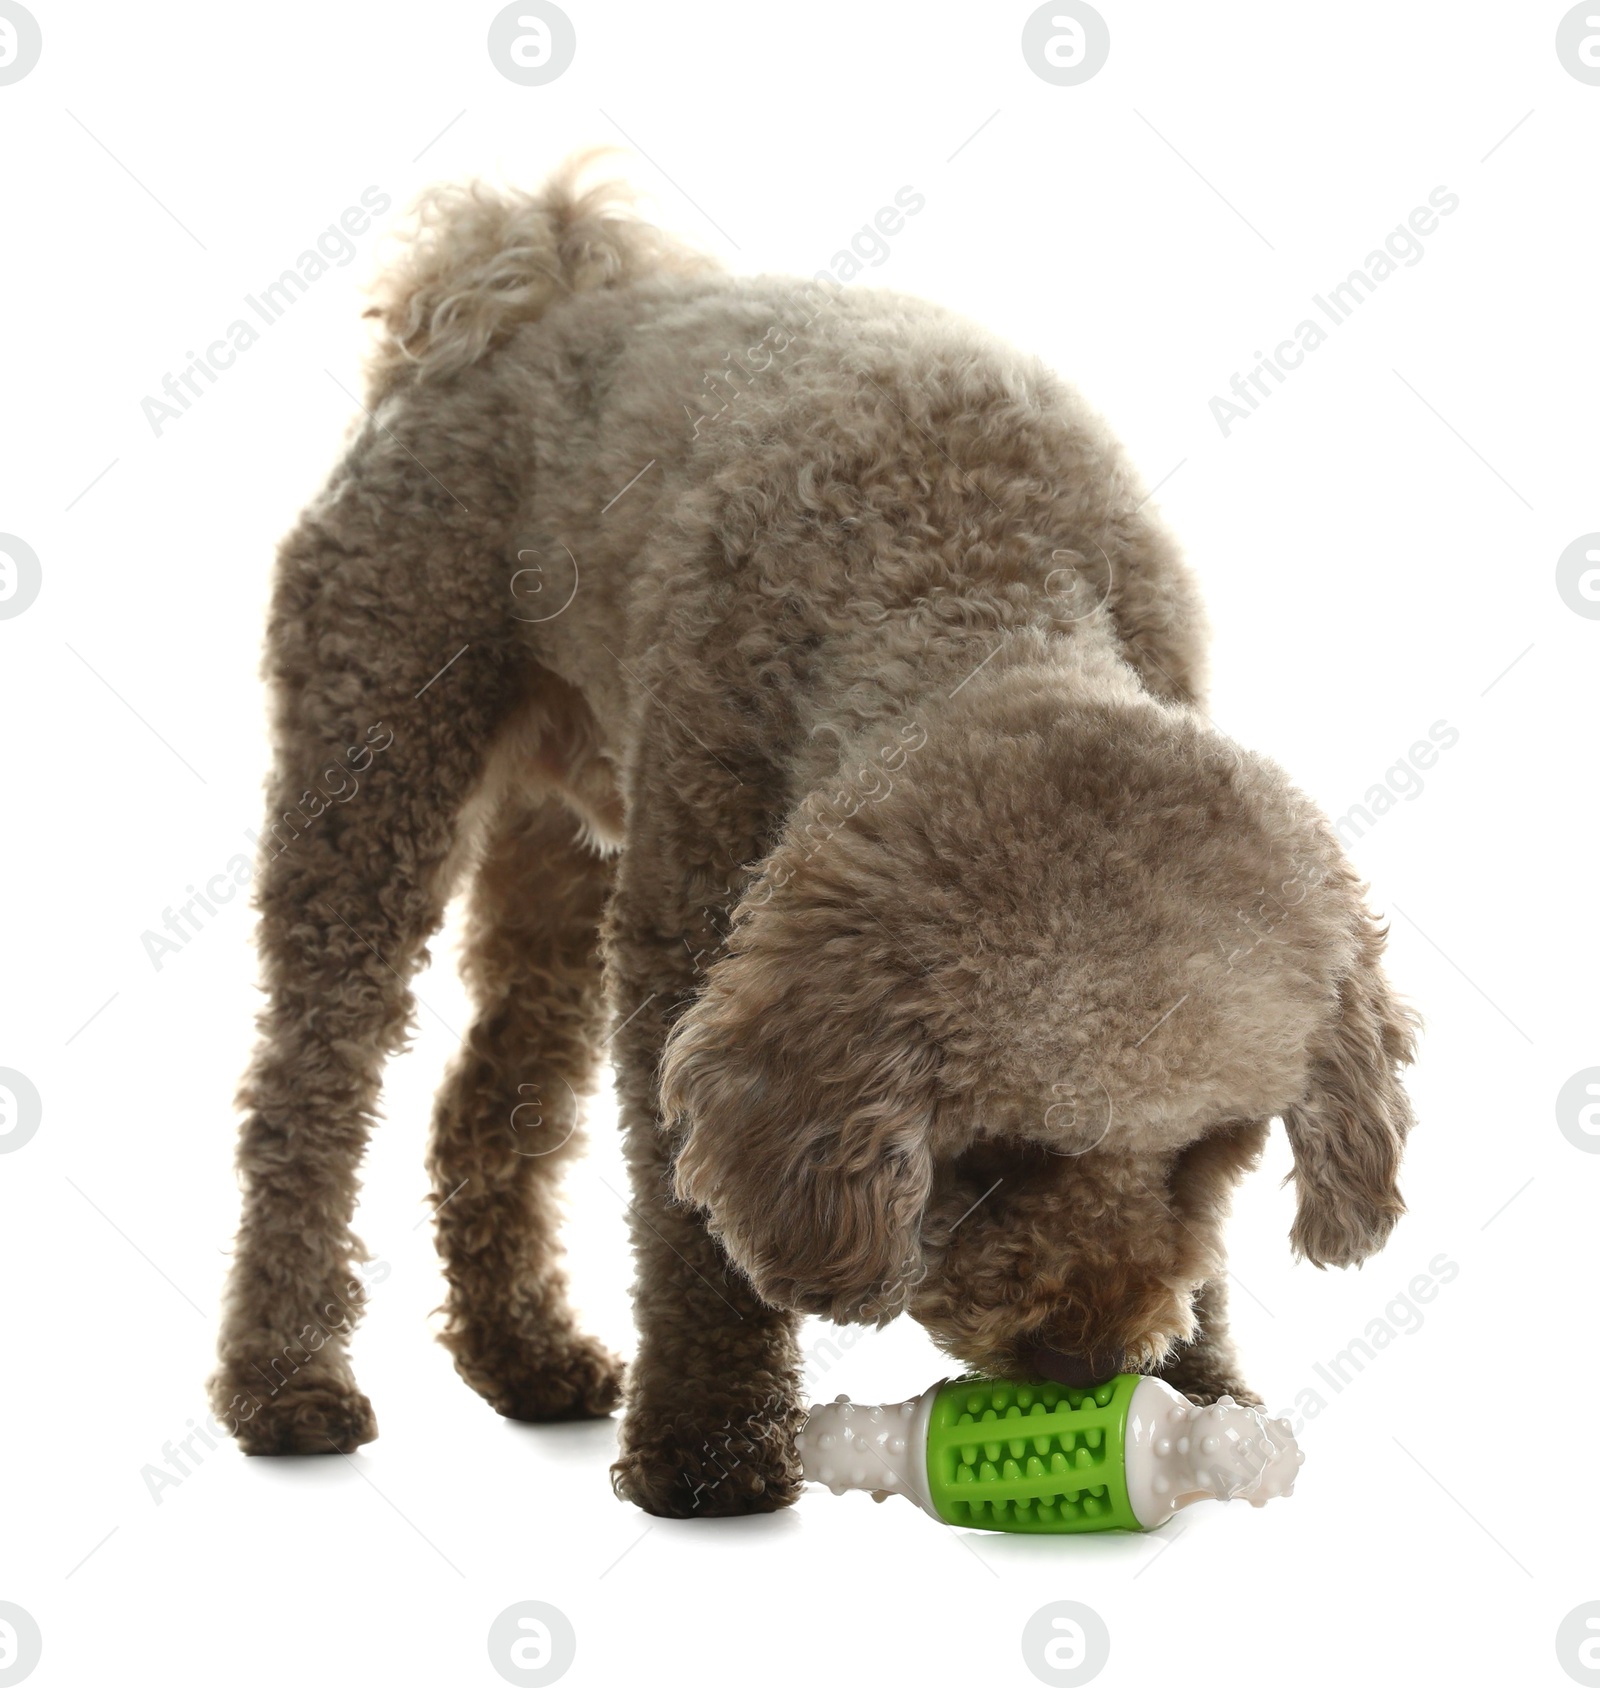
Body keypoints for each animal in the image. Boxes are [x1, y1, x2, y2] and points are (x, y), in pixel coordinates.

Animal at [209, 158, 1410, 1519]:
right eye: (988, 1159)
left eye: (1213, 1150)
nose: (1084, 1357)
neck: (971, 574)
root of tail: (525, 287)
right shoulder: (692, 931)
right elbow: (691, 1225)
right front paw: (709, 1445)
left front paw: (1203, 1390)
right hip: (375, 758)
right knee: (308, 1086)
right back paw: (286, 1380)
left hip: (564, 850)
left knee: (489, 1091)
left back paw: (524, 1353)